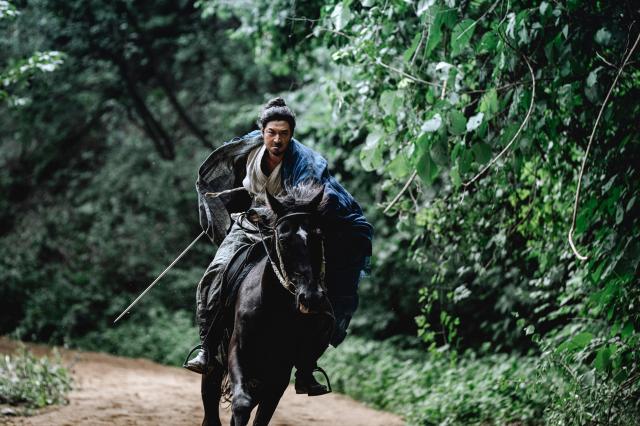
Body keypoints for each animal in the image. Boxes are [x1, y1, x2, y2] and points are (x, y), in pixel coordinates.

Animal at [202, 185, 336, 426]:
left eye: (318, 235)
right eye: (283, 239)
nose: (311, 297)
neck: (273, 307)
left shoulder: (278, 375)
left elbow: (261, 417)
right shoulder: (237, 351)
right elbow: (241, 405)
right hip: (215, 367)